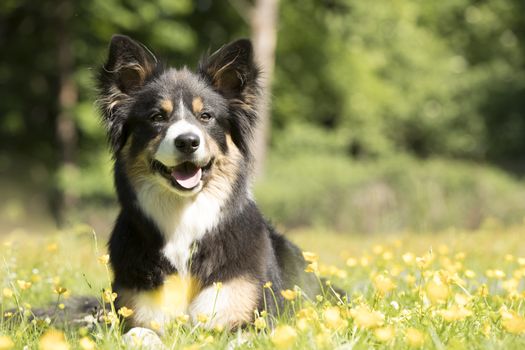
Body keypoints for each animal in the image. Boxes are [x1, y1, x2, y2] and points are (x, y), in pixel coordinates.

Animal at [96, 34, 322, 330]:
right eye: (157, 117)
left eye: (206, 116)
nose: (187, 141)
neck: (183, 214)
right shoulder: (138, 315)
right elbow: (139, 334)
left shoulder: (244, 315)